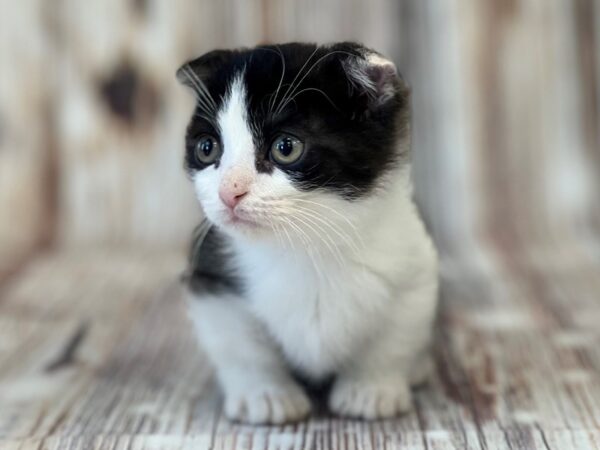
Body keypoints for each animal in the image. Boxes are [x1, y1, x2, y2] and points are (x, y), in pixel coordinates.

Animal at [176, 40, 438, 424]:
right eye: (207, 148)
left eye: (286, 148)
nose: (228, 192)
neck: (305, 244)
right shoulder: (213, 277)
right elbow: (239, 344)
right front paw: (265, 393)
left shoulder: (414, 270)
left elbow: (392, 338)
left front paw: (370, 388)